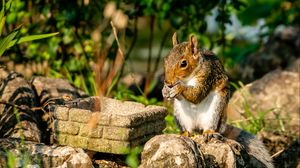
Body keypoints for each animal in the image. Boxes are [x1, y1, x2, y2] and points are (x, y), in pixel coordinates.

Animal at [163, 32, 274, 168]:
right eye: (166, 59)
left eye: (183, 63)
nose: (168, 82)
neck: (189, 77)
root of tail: (198, 128)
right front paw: (165, 90)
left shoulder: (207, 76)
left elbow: (197, 95)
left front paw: (179, 87)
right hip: (181, 115)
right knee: (188, 129)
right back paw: (185, 134)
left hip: (215, 111)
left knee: (210, 126)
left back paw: (209, 132)